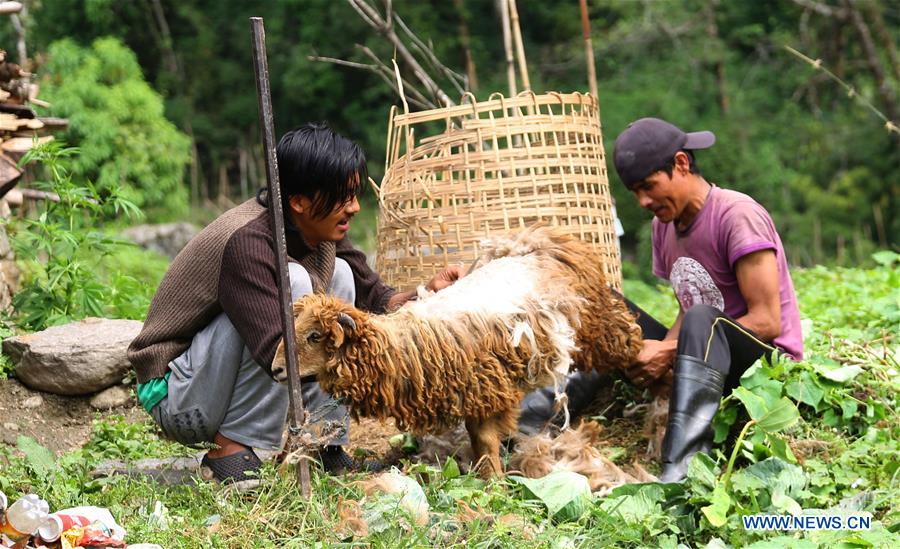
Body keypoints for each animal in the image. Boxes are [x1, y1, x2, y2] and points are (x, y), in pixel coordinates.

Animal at [270, 225, 644, 474]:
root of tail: (538, 241)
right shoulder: (472, 395)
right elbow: (479, 442)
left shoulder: (486, 391)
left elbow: (487, 443)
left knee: (630, 343)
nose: (276, 369)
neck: (404, 347)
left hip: (599, 325)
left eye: (315, 336)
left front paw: (493, 482)